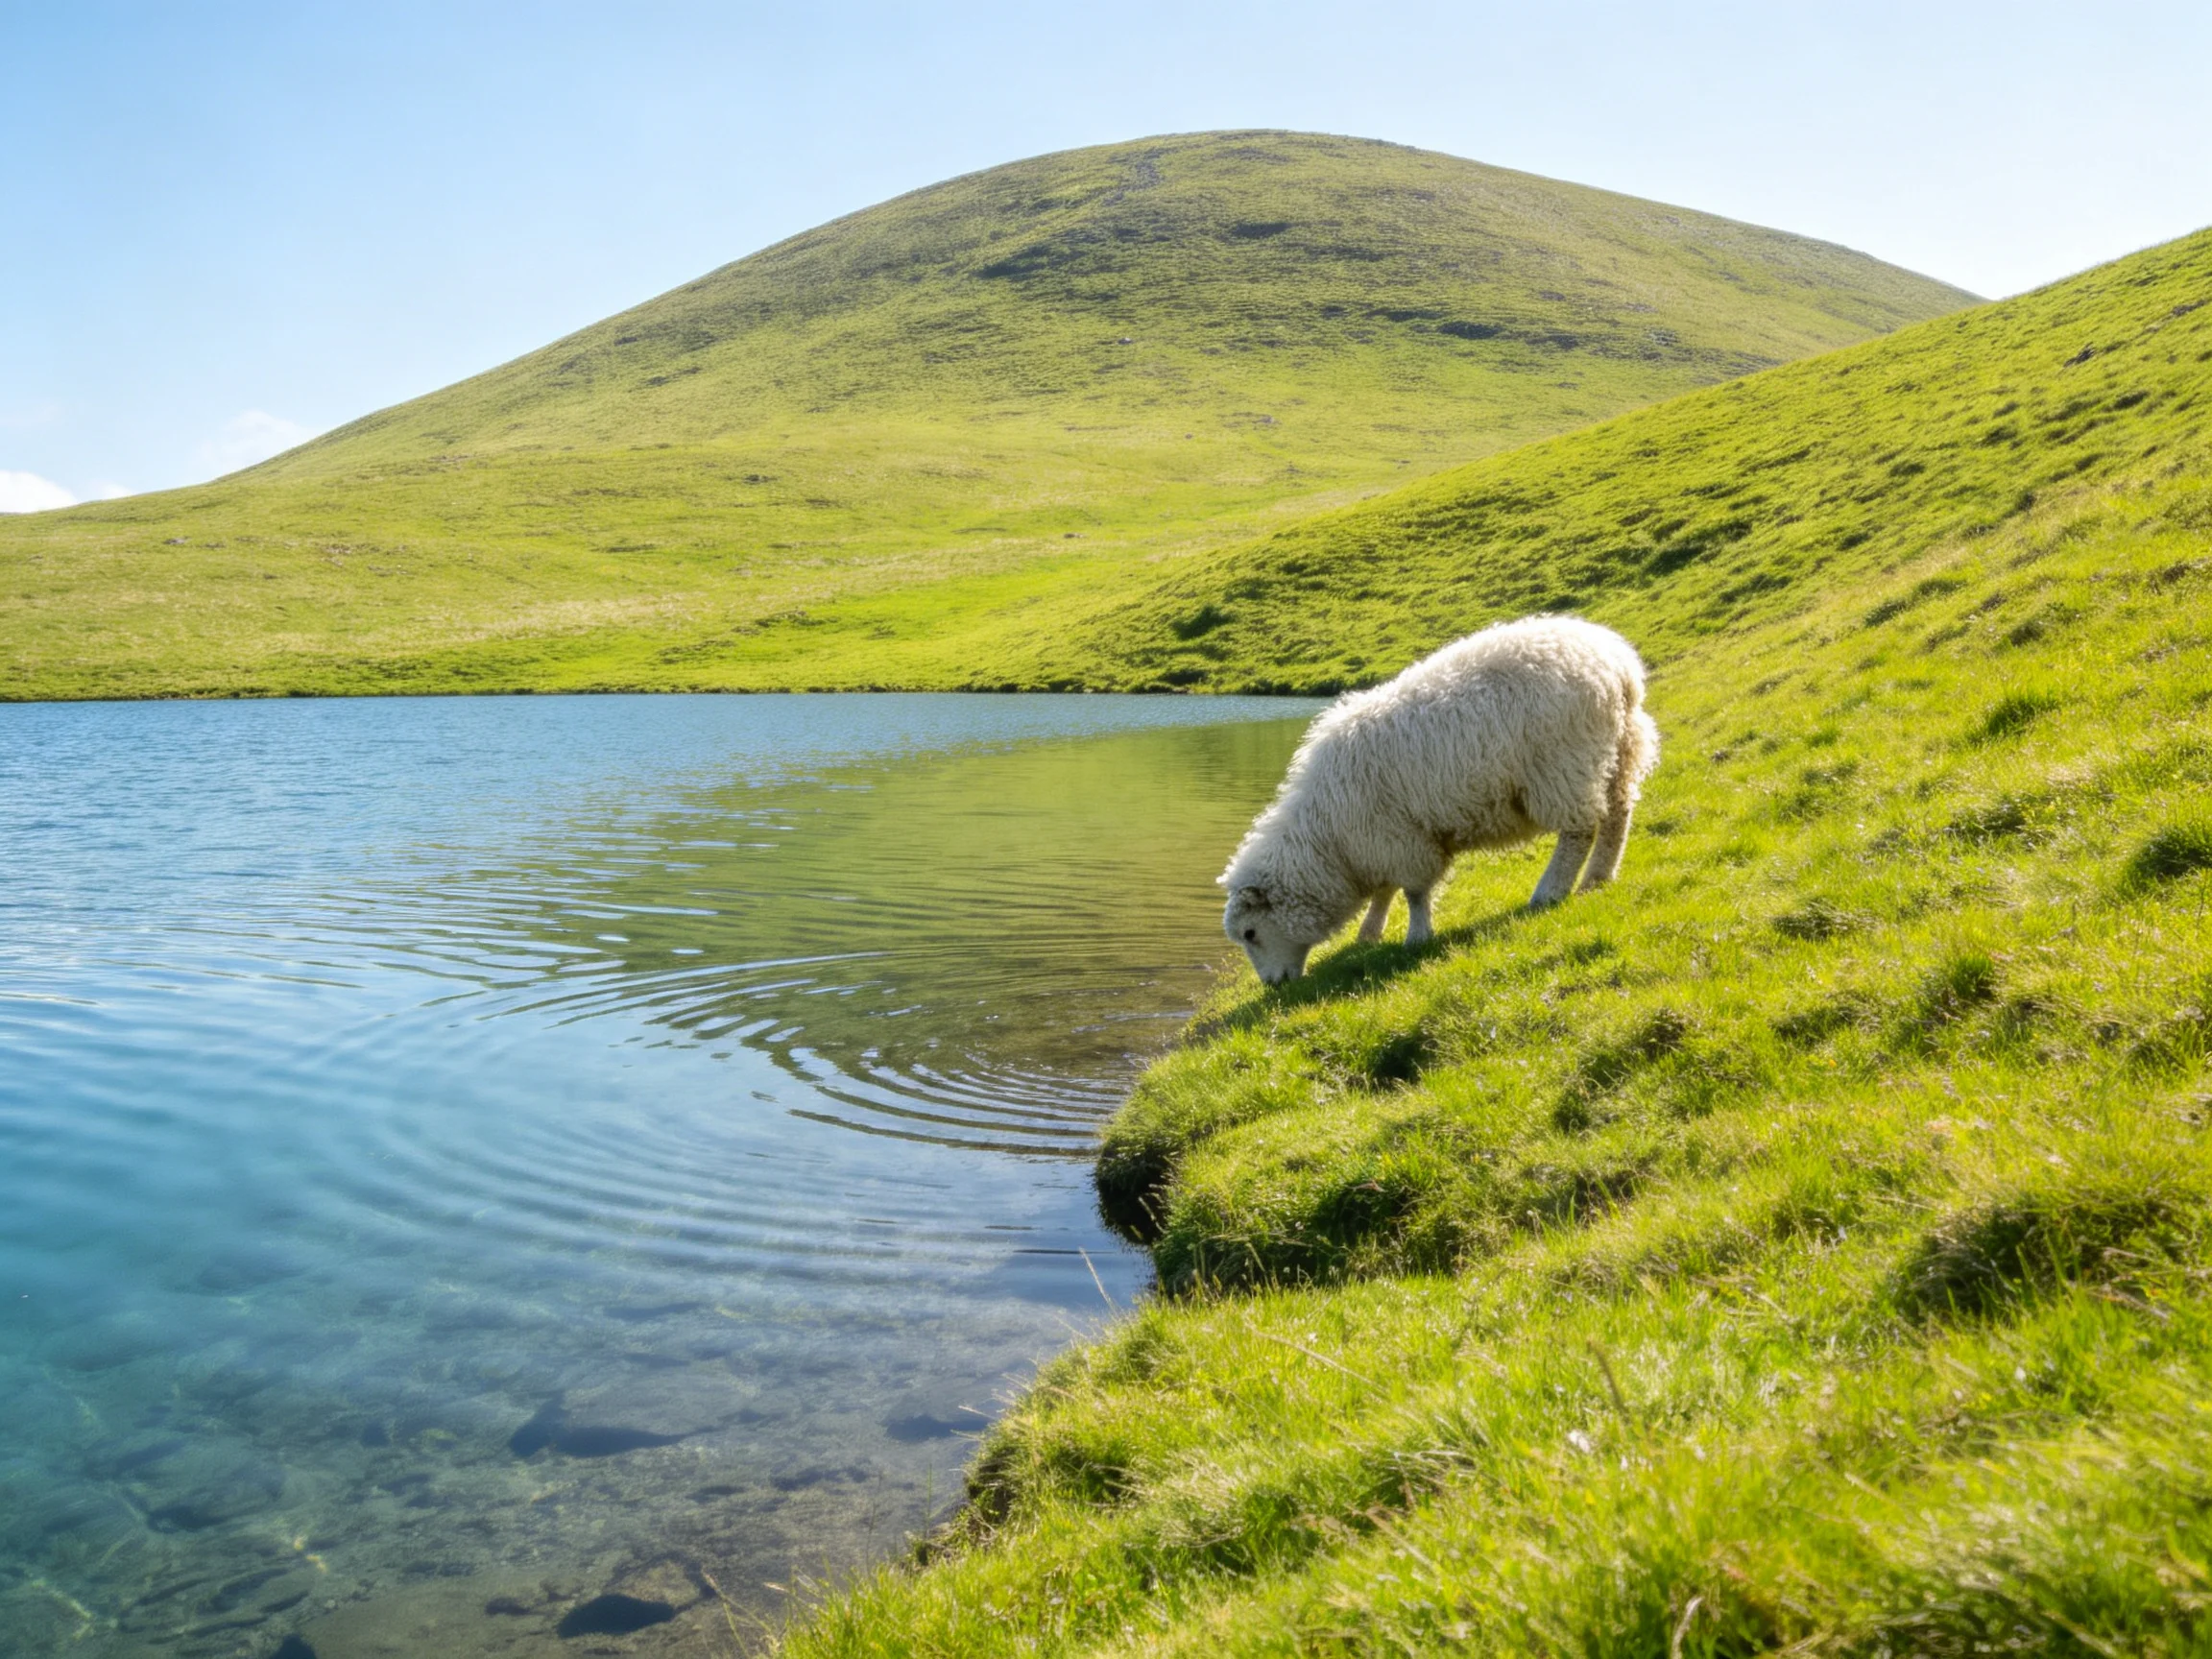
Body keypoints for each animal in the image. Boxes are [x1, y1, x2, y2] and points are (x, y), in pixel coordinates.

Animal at [1221, 616, 1660, 984]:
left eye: (1250, 932)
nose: (1274, 986)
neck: (1327, 839)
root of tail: (1617, 664)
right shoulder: (1377, 843)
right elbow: (1385, 890)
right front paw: (1369, 933)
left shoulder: (1398, 837)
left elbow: (1413, 892)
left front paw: (1416, 936)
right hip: (1620, 747)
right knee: (1619, 815)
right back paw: (1598, 878)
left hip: (1563, 764)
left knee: (1578, 831)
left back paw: (1550, 891)